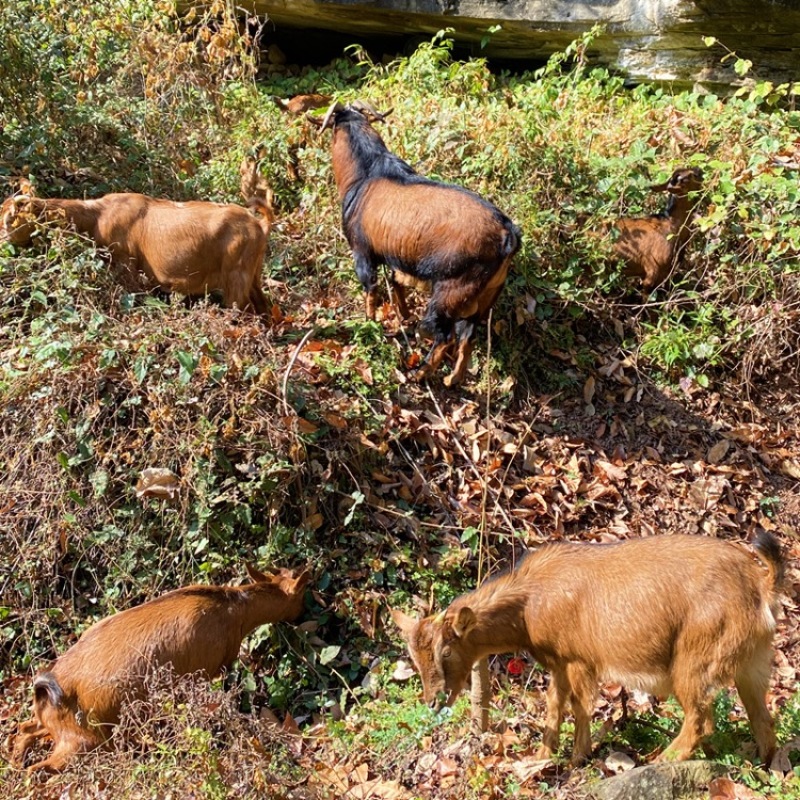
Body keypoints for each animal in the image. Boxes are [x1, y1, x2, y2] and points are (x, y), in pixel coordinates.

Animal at [0, 184, 276, 316]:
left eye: (9, 219)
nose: (3, 243)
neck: (99, 215)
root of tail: (259, 225)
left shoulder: (127, 267)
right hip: (252, 276)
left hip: (236, 279)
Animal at [14, 564, 312, 772]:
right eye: (301, 596)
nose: (304, 614)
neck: (233, 609)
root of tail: (48, 685)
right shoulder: (213, 667)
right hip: (82, 743)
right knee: (39, 770)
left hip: (58, 728)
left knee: (23, 732)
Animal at [316, 100, 520, 388]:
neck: (366, 173)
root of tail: (507, 233)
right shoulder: (397, 257)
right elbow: (397, 282)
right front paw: (403, 315)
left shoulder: (362, 252)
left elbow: (371, 290)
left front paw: (370, 322)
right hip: (487, 295)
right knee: (468, 336)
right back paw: (452, 378)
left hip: (451, 290)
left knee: (445, 336)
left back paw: (419, 373)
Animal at [392, 536, 780, 764]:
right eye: (414, 658)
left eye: (445, 651)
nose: (433, 701)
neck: (530, 603)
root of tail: (761, 587)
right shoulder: (558, 663)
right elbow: (554, 704)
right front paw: (542, 756)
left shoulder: (579, 659)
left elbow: (580, 706)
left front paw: (578, 757)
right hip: (753, 663)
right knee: (761, 717)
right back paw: (764, 765)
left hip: (695, 659)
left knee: (700, 718)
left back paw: (662, 760)